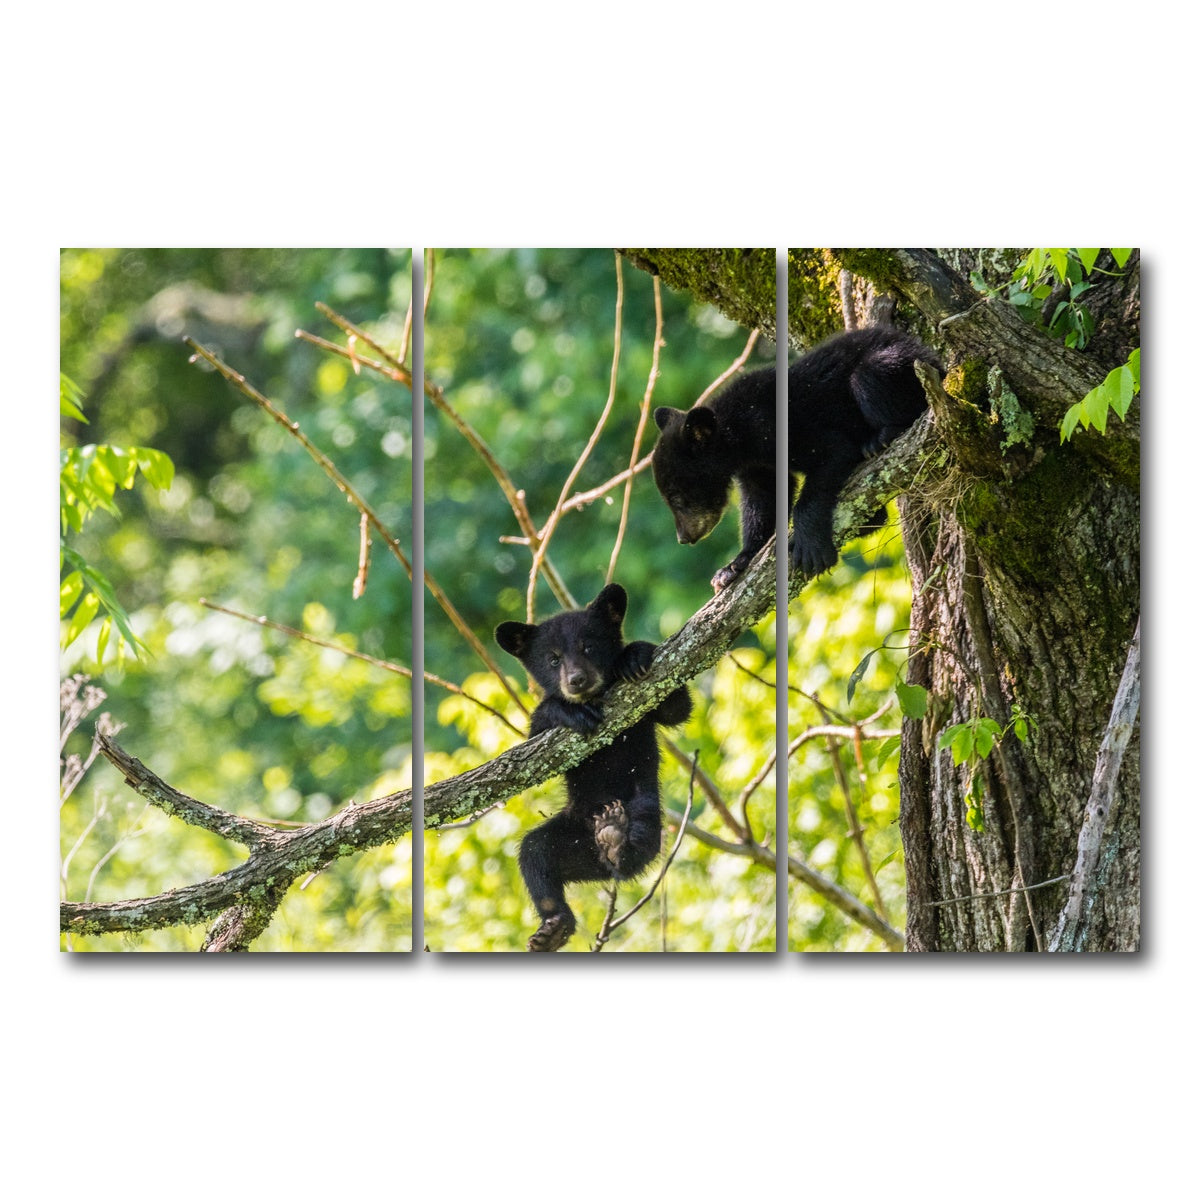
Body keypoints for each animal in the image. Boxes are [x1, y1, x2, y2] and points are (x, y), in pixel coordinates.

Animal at [495, 583, 692, 952]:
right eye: (553, 658)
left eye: (589, 646)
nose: (577, 680)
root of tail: (596, 859)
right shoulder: (539, 741)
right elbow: (535, 741)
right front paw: (568, 711)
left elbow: (675, 707)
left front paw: (633, 656)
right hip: (567, 837)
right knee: (534, 853)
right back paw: (553, 928)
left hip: (644, 807)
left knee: (639, 841)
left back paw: (616, 838)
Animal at [651, 326, 941, 589]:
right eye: (668, 499)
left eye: (677, 498)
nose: (684, 537)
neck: (739, 436)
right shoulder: (756, 465)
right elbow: (764, 500)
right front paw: (734, 565)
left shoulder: (782, 428)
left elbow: (833, 451)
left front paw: (810, 546)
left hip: (901, 367)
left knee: (870, 374)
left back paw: (880, 438)